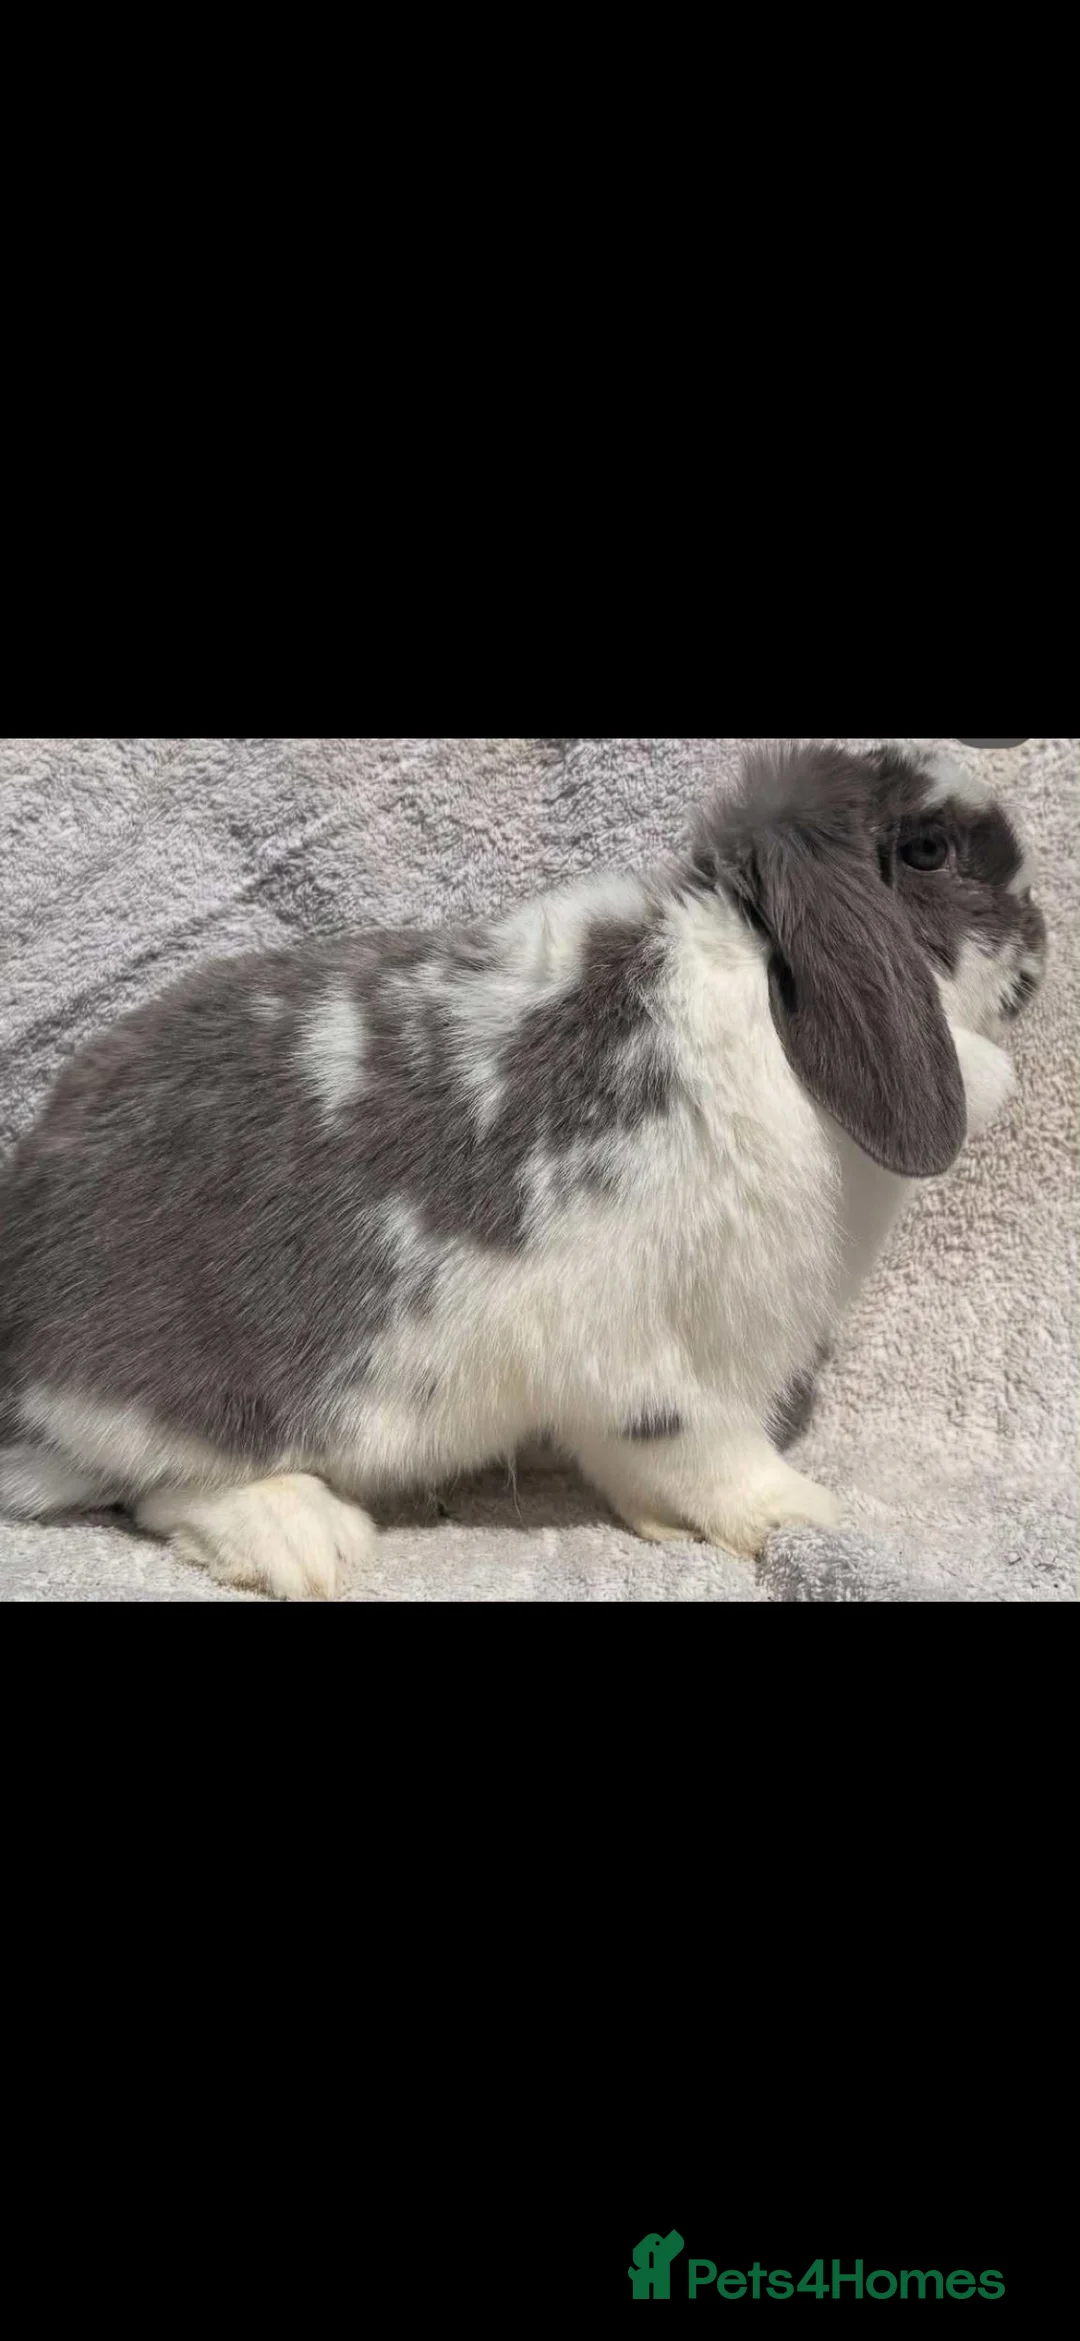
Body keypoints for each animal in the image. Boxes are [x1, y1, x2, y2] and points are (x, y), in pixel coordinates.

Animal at [0, 739, 1048, 1599]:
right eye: (929, 851)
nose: (1039, 946)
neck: (754, 976)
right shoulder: (664, 1356)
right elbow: (706, 1454)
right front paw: (802, 1512)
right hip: (204, 1400)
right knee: (158, 1487)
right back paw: (310, 1541)